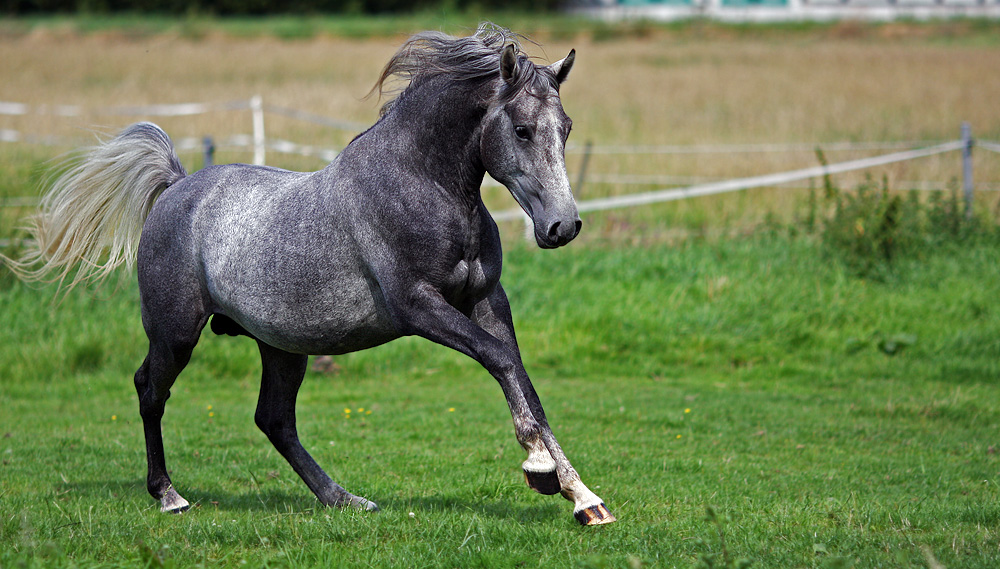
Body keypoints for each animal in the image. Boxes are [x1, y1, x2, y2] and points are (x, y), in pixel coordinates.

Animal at [7, 24, 616, 524]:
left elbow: (521, 378)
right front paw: (539, 470)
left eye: (565, 128)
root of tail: (177, 186)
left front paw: (584, 499)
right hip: (175, 331)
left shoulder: (488, 301)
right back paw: (169, 495)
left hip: (282, 345)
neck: (423, 186)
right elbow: (499, 362)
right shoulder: (419, 306)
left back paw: (343, 499)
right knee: (149, 390)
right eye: (522, 129)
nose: (563, 226)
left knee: (273, 419)